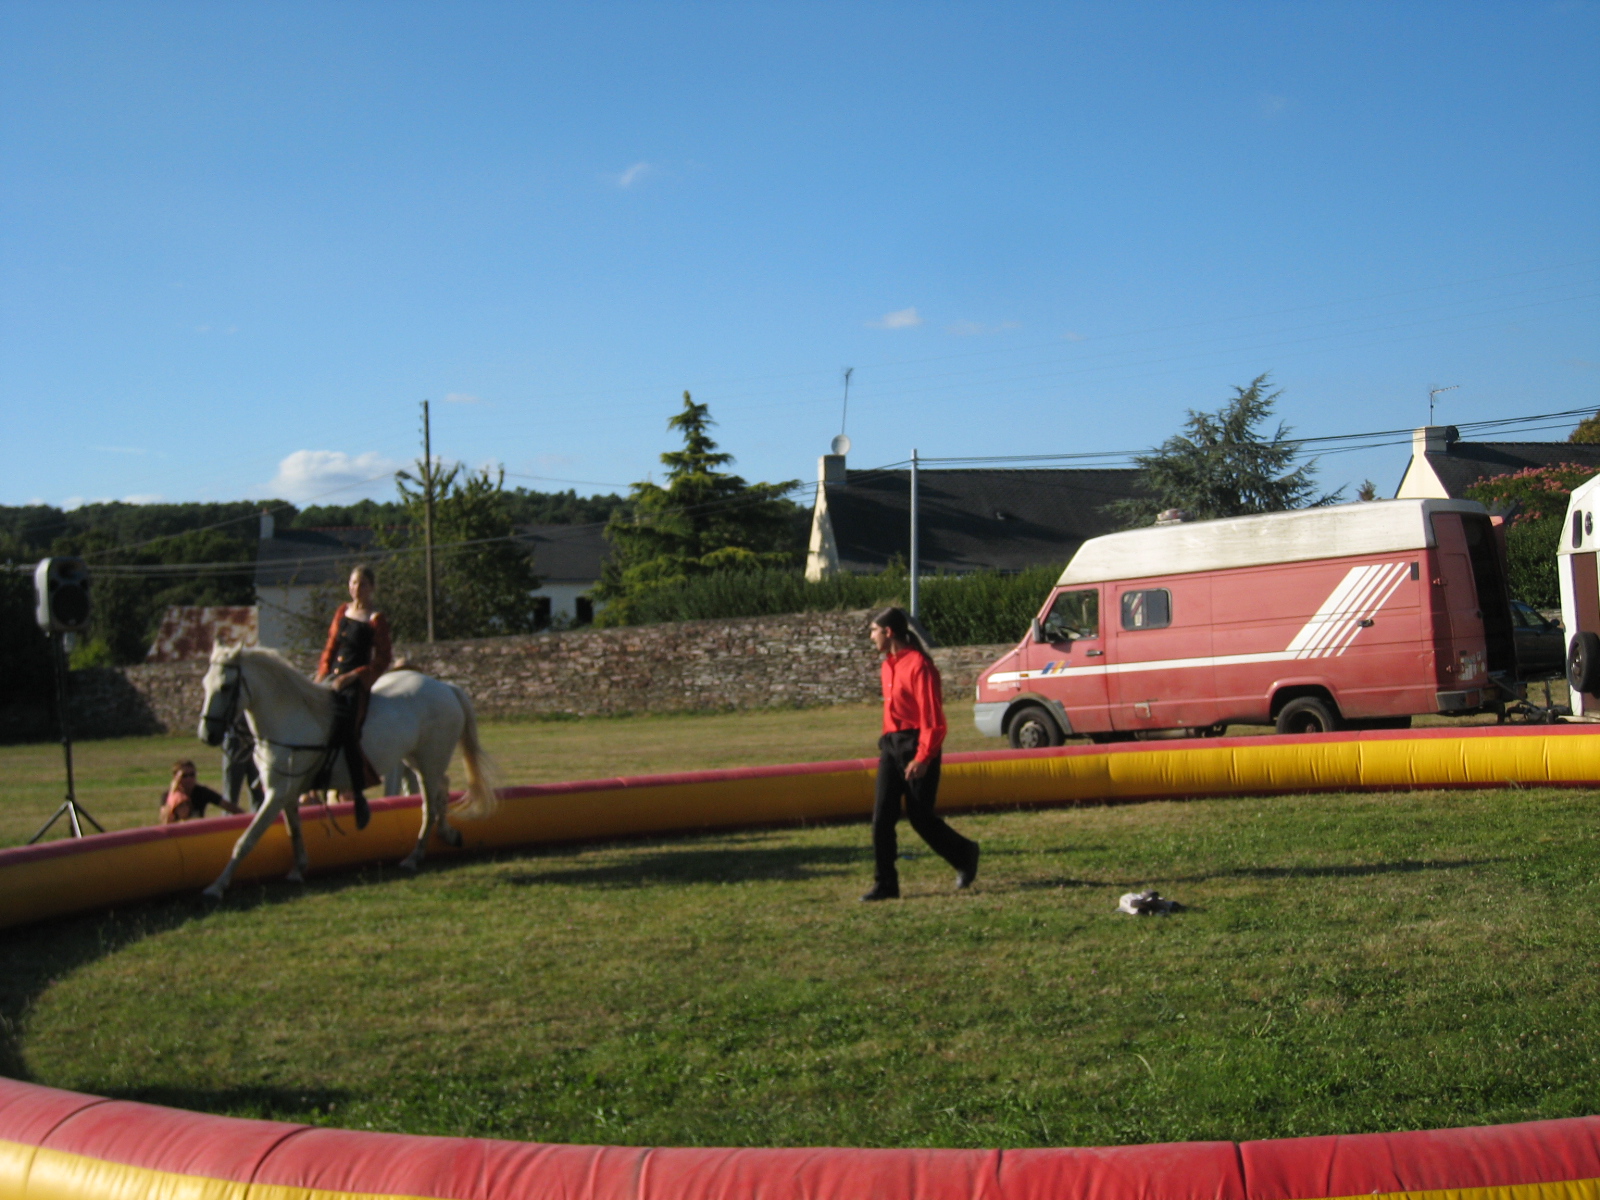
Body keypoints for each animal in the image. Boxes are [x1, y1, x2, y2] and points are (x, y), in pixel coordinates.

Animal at [195, 644, 497, 898]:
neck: (290, 718)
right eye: (204, 685)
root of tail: (445, 686)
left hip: (429, 761)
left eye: (225, 686)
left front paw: (216, 887)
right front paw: (298, 869)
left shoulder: (276, 793)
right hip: (417, 760)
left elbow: (246, 840)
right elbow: (294, 830)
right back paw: (447, 834)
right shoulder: (288, 792)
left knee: (431, 804)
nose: (207, 735)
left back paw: (414, 856)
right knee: (442, 788)